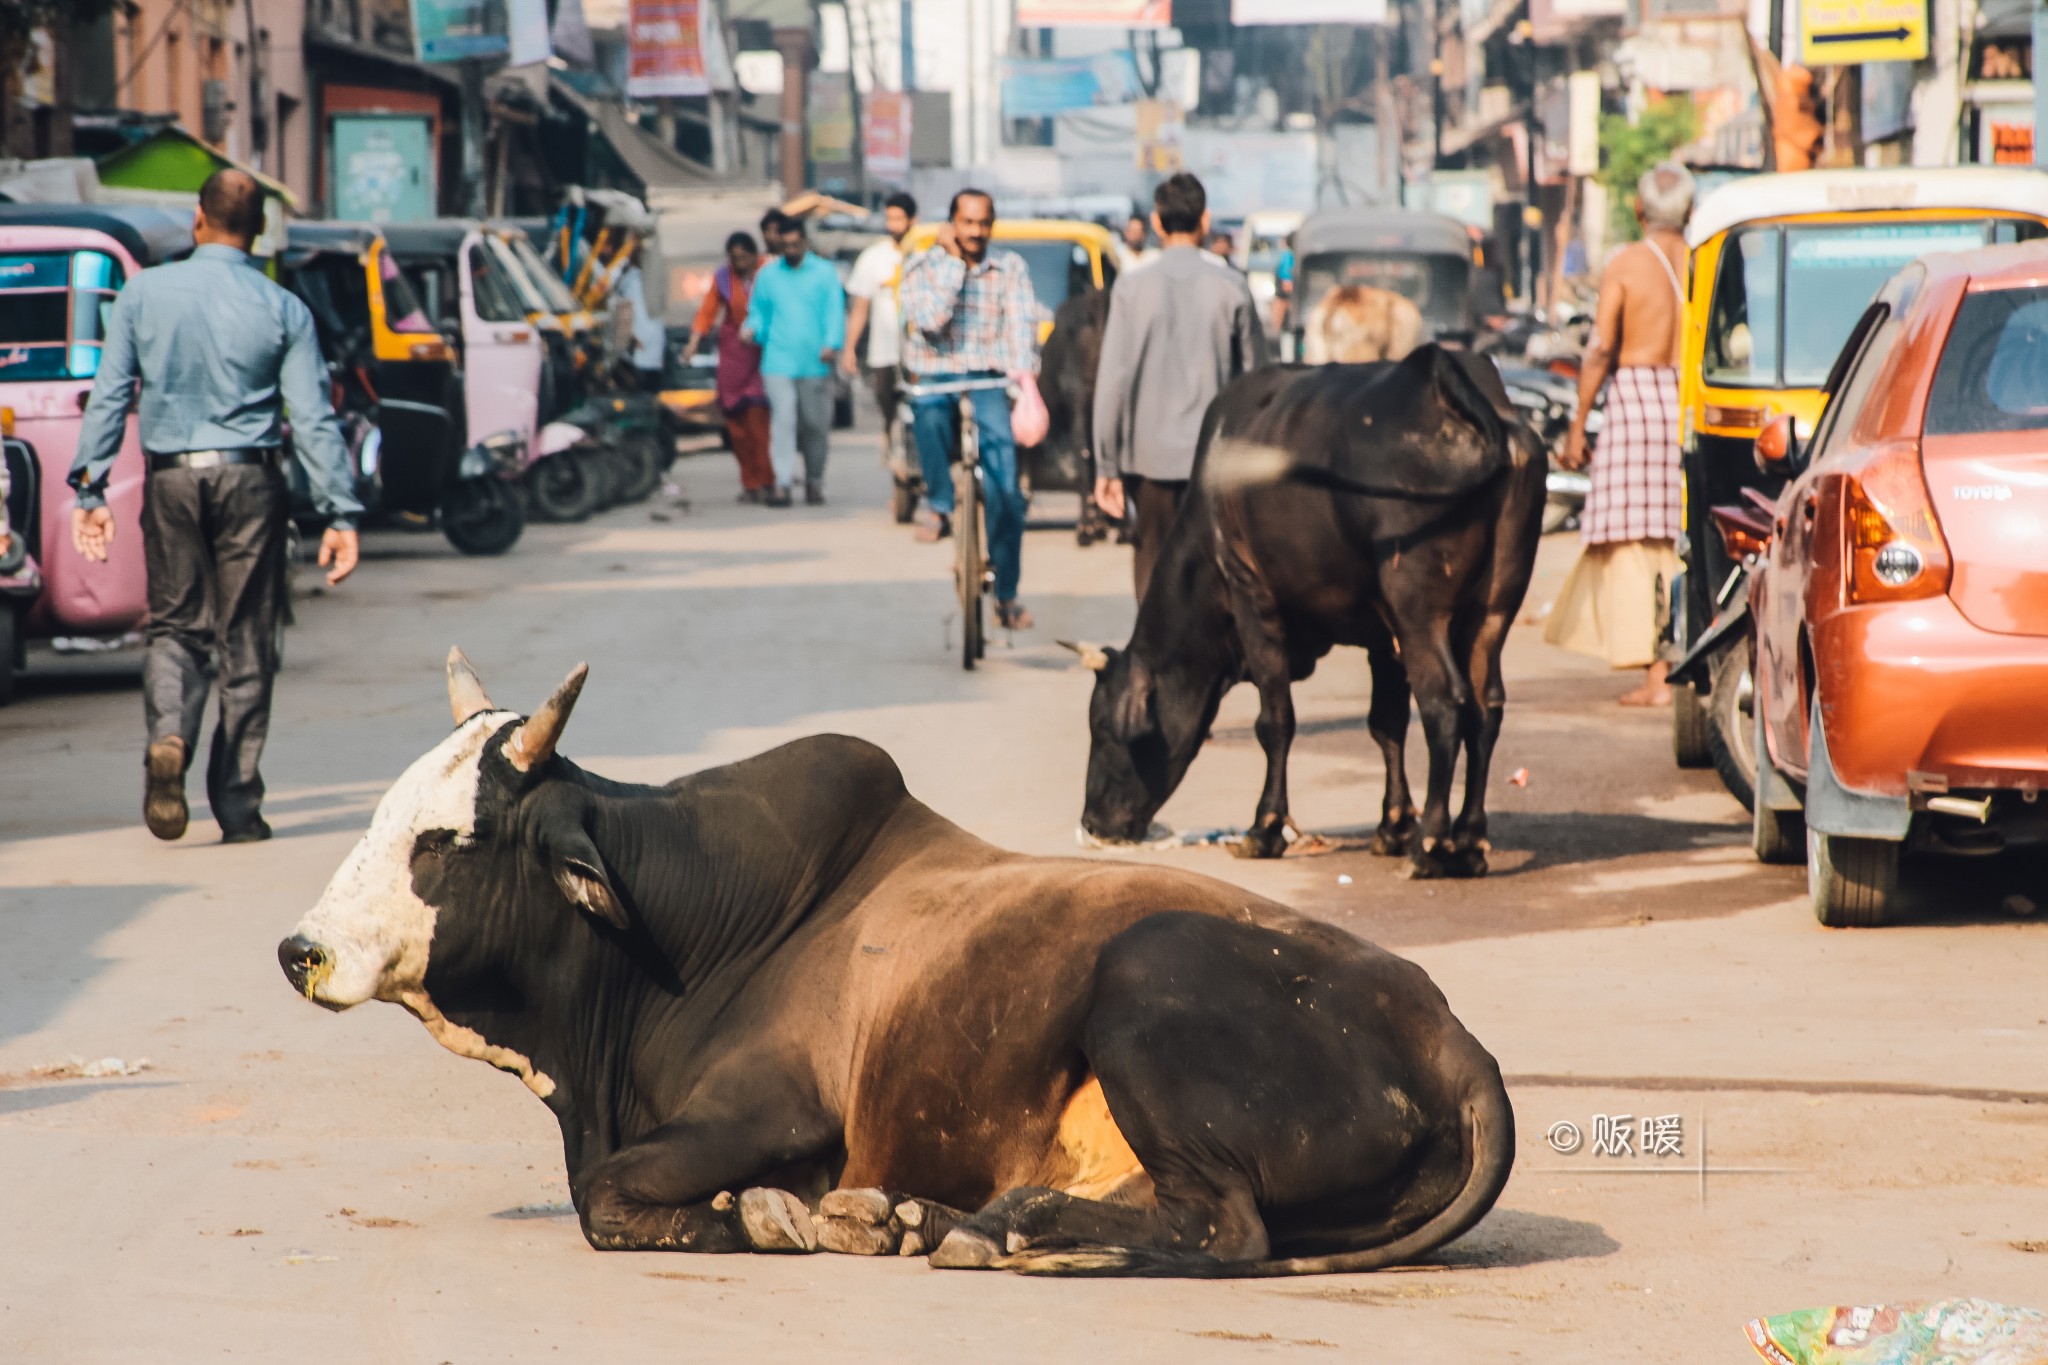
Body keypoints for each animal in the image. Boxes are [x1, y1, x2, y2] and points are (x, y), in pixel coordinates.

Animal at [280, 646, 1515, 1277]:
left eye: (448, 840)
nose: (301, 950)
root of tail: (1457, 1042)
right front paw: (835, 1215)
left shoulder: (774, 1111)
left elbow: (605, 1193)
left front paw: (757, 1218)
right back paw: (949, 1218)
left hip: (1143, 978)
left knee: (1222, 1228)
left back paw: (1010, 1233)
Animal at [1081, 347, 1540, 879]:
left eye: (1103, 730)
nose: (1092, 823)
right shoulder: (1384, 636)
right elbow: (1385, 723)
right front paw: (1392, 826)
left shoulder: (1252, 595)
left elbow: (1275, 720)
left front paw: (1264, 829)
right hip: (1492, 610)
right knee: (1485, 707)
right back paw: (1468, 841)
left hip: (1420, 612)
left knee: (1445, 703)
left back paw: (1431, 845)